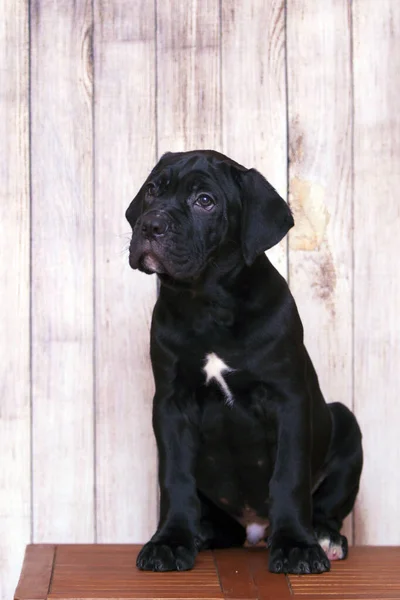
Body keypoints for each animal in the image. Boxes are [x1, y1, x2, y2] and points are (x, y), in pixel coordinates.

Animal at [126, 148, 364, 576]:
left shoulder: (288, 400)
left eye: (205, 201)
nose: (150, 224)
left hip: (346, 423)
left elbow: (288, 477)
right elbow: (175, 477)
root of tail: (253, 529)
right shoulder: (171, 405)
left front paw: (296, 546)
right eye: (152, 190)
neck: (207, 303)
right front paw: (170, 540)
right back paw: (200, 532)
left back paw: (323, 537)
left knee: (327, 508)